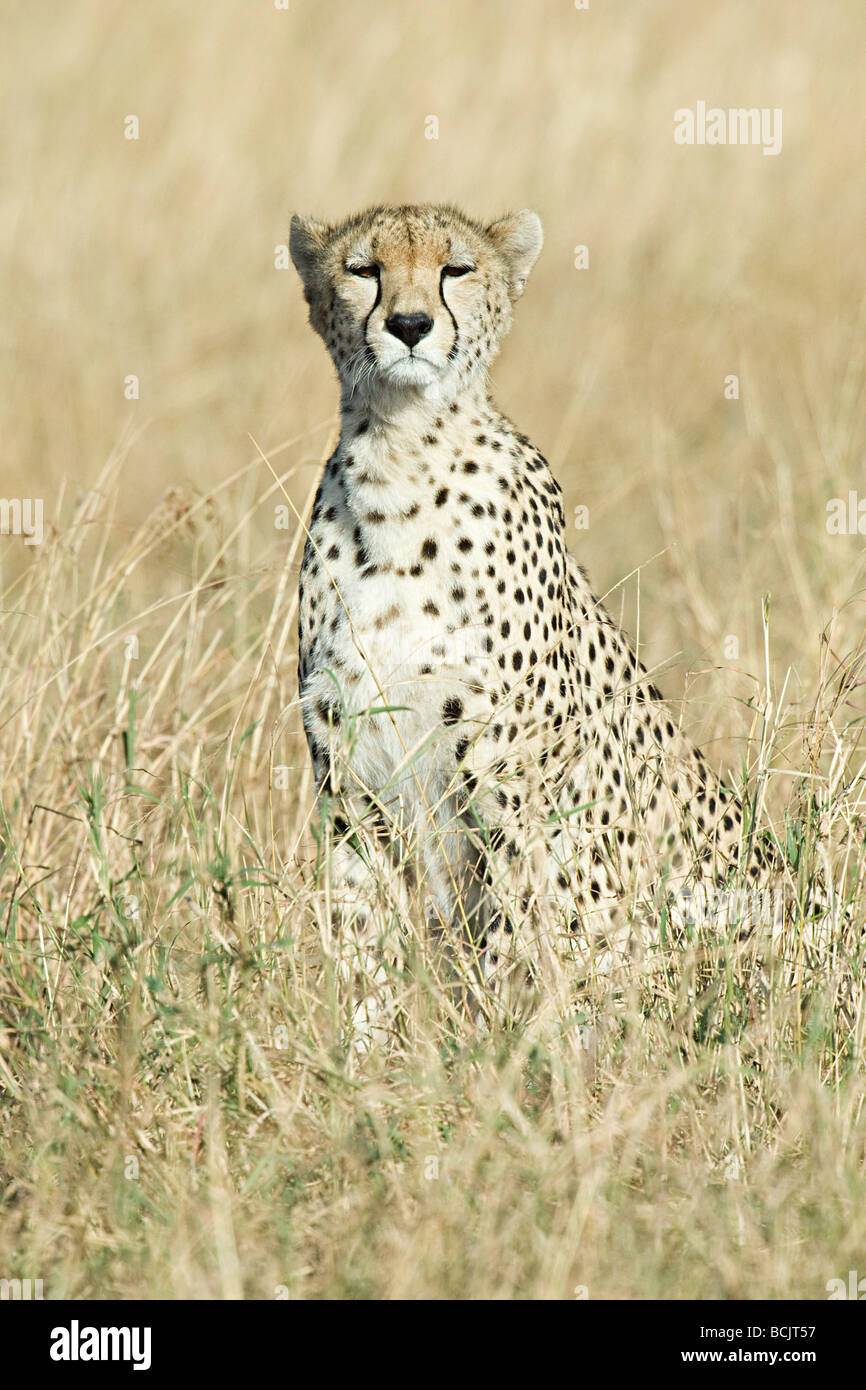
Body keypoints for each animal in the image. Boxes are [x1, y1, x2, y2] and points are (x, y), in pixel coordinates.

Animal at [289, 201, 832, 1041]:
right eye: (363, 270)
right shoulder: (352, 783)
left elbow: (520, 936)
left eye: (455, 269)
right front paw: (364, 1053)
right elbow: (359, 936)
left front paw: (515, 1057)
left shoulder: (514, 789)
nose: (410, 325)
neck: (400, 460)